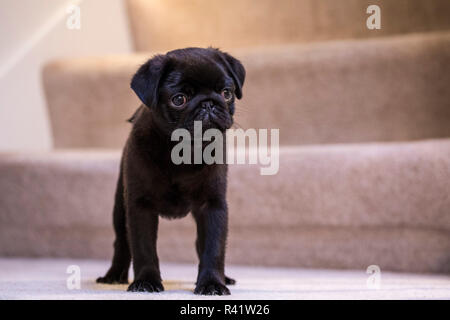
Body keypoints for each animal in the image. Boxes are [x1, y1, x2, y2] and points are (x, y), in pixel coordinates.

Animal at [96, 47, 246, 296]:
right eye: (179, 99)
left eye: (226, 93)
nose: (208, 104)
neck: (184, 152)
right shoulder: (140, 206)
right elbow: (143, 248)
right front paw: (146, 281)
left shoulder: (213, 206)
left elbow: (213, 248)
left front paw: (212, 282)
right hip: (120, 206)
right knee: (122, 242)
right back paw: (114, 275)